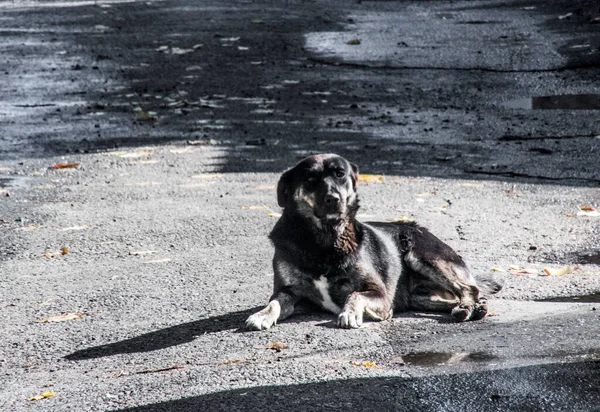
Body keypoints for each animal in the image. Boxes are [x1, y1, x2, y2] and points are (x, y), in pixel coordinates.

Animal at [244, 153, 502, 330]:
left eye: (340, 174)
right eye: (310, 179)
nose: (333, 199)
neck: (324, 241)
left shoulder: (378, 293)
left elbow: (355, 295)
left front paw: (350, 313)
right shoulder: (289, 292)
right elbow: (275, 302)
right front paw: (261, 314)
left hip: (423, 255)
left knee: (468, 288)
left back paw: (468, 308)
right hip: (420, 296)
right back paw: (476, 307)